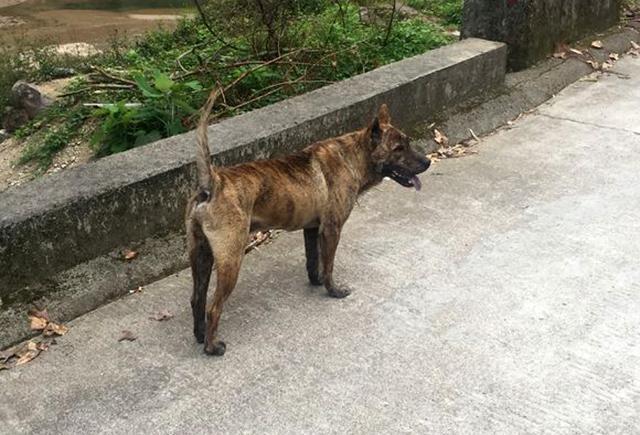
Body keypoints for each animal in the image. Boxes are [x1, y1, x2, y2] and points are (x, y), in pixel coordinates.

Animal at [185, 90, 430, 356]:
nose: (427, 162)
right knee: (214, 308)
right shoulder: (331, 229)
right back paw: (211, 346)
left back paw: (200, 335)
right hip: (231, 260)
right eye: (398, 148)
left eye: (407, 142)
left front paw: (316, 281)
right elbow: (329, 264)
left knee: (197, 300)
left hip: (201, 256)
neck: (353, 157)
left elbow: (313, 261)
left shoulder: (312, 229)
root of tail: (213, 182)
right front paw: (333, 290)